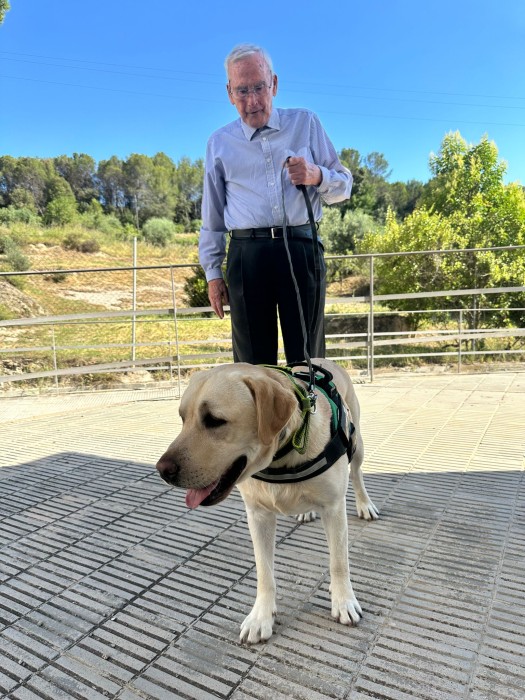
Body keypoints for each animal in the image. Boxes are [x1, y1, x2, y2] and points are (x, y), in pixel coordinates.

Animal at [156, 359, 379, 643]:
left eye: (214, 420)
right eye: (183, 418)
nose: (162, 470)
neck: (281, 458)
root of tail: (324, 360)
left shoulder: (333, 508)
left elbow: (339, 562)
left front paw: (343, 601)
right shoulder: (258, 515)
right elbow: (264, 572)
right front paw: (260, 617)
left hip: (357, 442)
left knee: (358, 473)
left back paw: (364, 504)